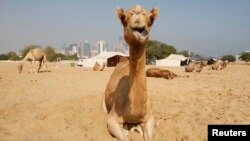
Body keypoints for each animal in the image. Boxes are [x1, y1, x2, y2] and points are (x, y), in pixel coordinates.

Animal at [102, 4, 157, 140]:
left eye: (152, 19)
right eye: (123, 18)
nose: (137, 11)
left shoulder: (149, 118)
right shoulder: (112, 119)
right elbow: (124, 137)